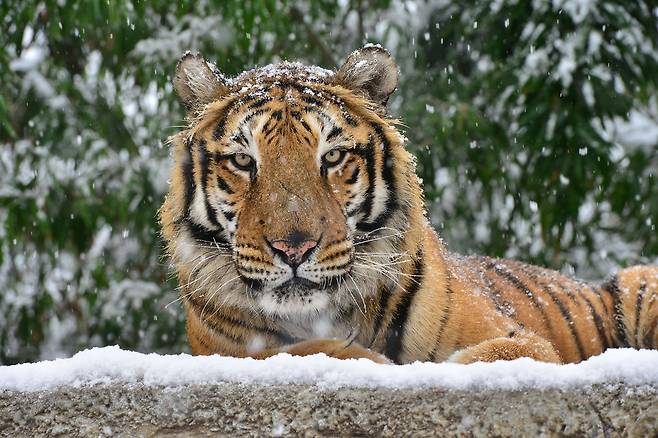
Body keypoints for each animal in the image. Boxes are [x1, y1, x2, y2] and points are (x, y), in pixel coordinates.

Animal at [159, 45, 656, 366]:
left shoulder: (517, 338)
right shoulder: (221, 350)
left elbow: (485, 358)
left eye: (332, 157)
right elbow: (290, 352)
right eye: (244, 161)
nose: (294, 249)